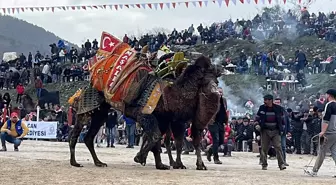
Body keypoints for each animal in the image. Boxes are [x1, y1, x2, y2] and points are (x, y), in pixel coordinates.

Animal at [68, 55, 222, 171]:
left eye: (215, 78)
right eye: (206, 77)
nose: (217, 91)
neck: (171, 94)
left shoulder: (166, 119)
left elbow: (162, 140)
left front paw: (163, 165)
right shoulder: (145, 114)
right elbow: (156, 137)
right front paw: (140, 158)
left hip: (101, 113)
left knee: (89, 137)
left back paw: (98, 162)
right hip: (88, 105)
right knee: (77, 131)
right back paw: (74, 162)